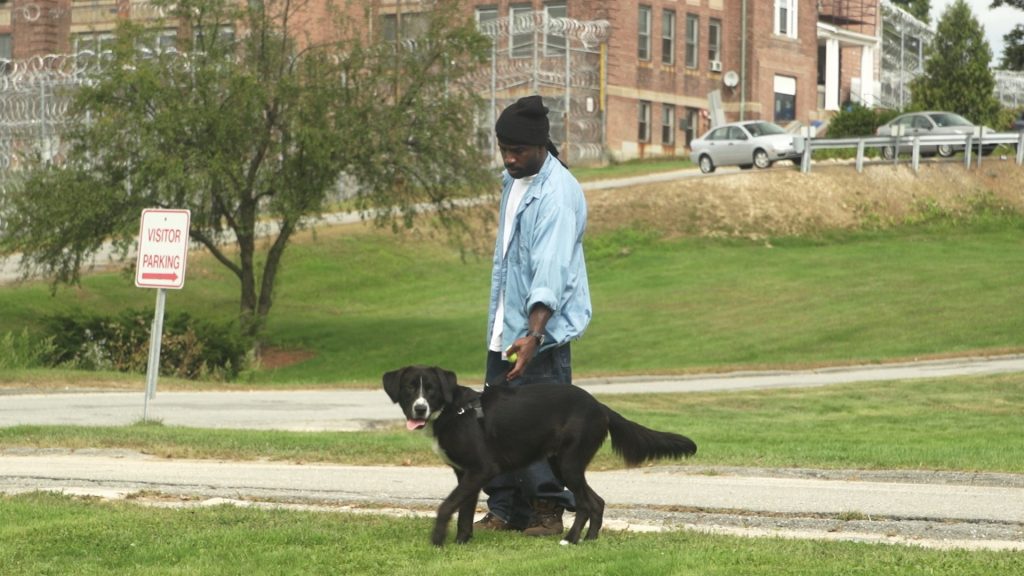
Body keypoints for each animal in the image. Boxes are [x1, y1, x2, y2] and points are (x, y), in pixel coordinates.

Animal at [382, 364, 696, 545]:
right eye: (410, 388)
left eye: (432, 390)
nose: (419, 409)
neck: (453, 410)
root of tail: (600, 406)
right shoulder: (466, 474)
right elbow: (464, 512)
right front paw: (461, 542)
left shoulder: (481, 469)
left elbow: (447, 506)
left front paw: (437, 540)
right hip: (562, 464)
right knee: (596, 502)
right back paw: (590, 540)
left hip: (569, 463)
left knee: (585, 503)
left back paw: (572, 540)